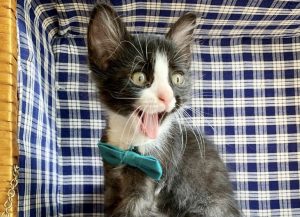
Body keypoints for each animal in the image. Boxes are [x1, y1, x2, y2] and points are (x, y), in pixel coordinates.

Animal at [87, 3, 241, 217]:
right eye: (139, 78)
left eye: (177, 79)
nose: (167, 96)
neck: (132, 147)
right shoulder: (110, 171)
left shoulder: (152, 176)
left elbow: (132, 208)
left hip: (208, 206)